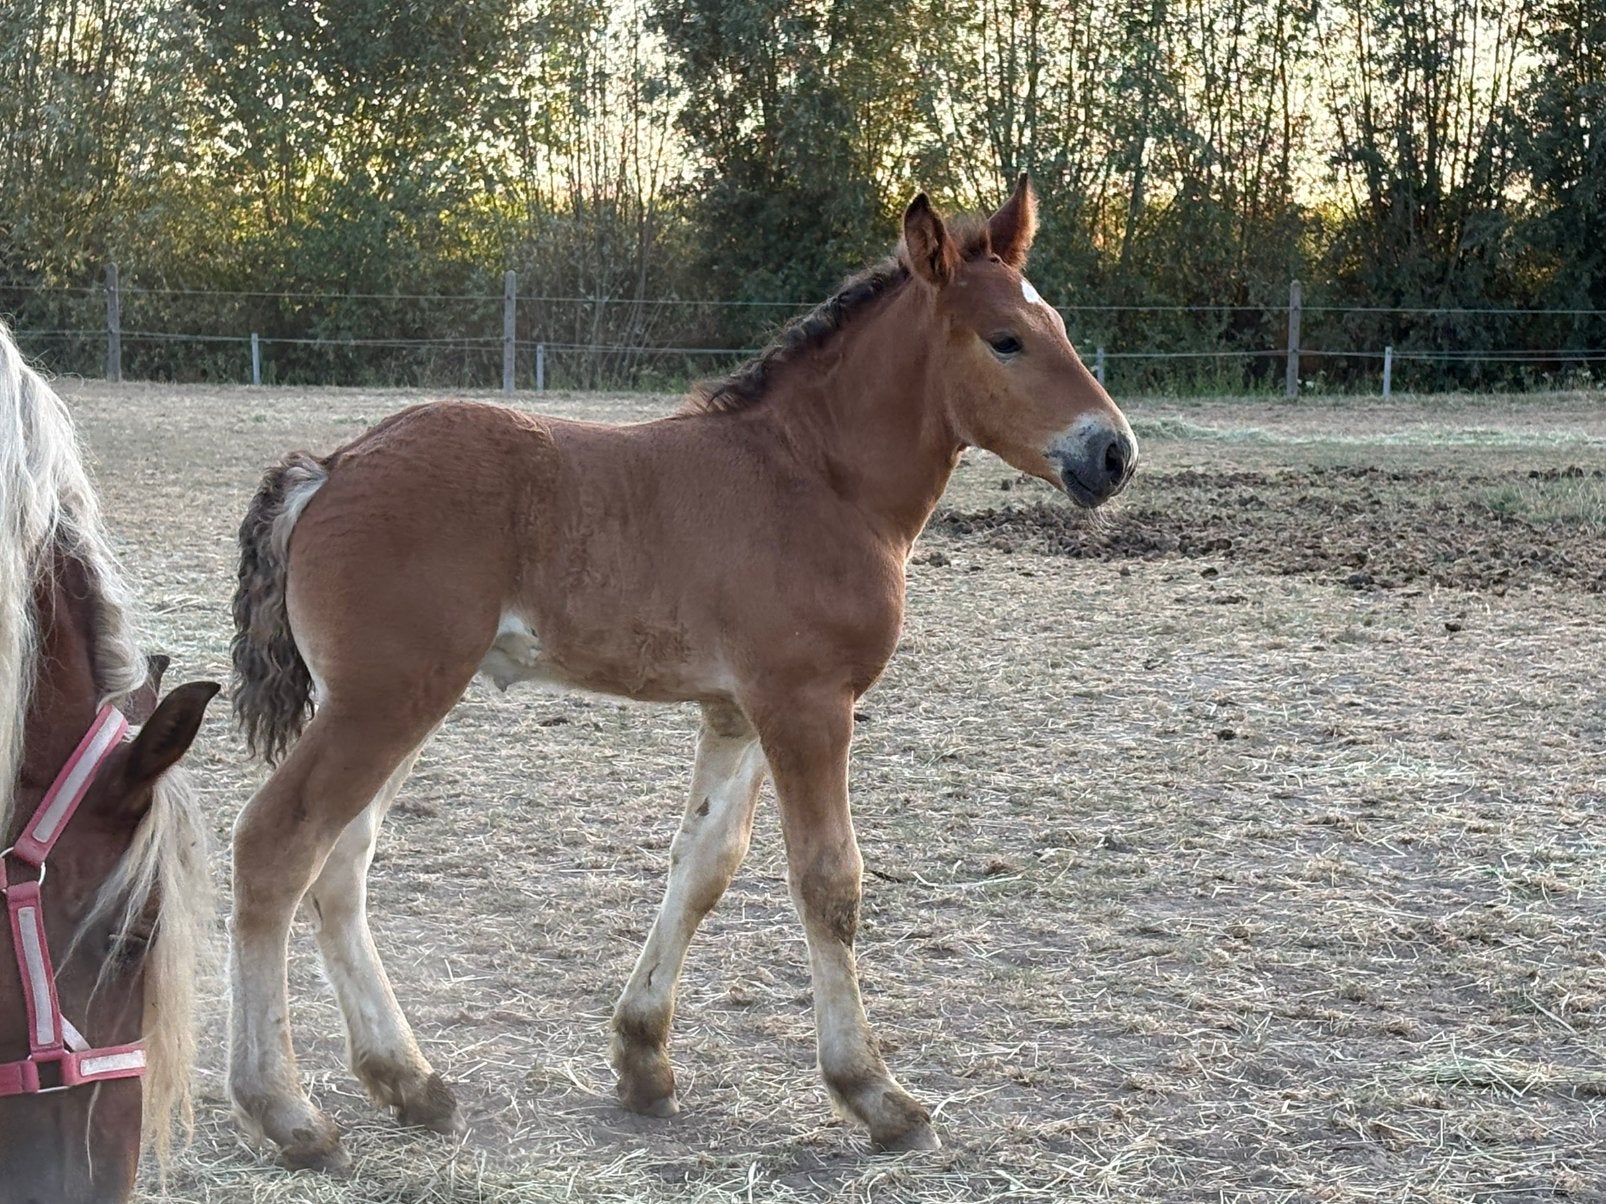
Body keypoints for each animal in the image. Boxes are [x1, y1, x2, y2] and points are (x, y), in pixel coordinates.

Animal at [226, 177, 1138, 1169]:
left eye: (1059, 329)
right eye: (1005, 339)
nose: (1113, 452)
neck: (818, 480)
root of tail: (330, 467)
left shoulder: (738, 710)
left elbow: (704, 863)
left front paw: (643, 1062)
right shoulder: (808, 705)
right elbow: (829, 880)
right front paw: (873, 1093)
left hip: (395, 701)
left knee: (342, 863)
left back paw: (410, 1082)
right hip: (386, 698)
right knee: (278, 846)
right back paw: (287, 1111)